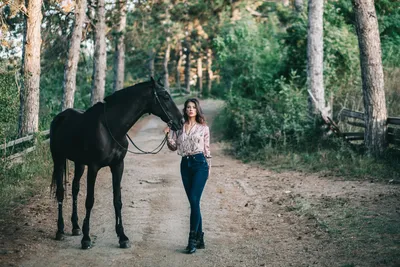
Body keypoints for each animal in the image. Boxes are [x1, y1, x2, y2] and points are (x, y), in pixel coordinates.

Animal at [48, 77, 184, 249]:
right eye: (165, 96)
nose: (181, 121)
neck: (111, 128)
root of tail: (60, 117)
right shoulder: (93, 167)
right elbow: (89, 201)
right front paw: (86, 238)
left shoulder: (118, 166)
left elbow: (117, 200)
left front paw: (122, 237)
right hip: (58, 159)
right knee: (60, 191)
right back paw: (60, 230)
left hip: (79, 164)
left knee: (75, 189)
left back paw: (75, 227)